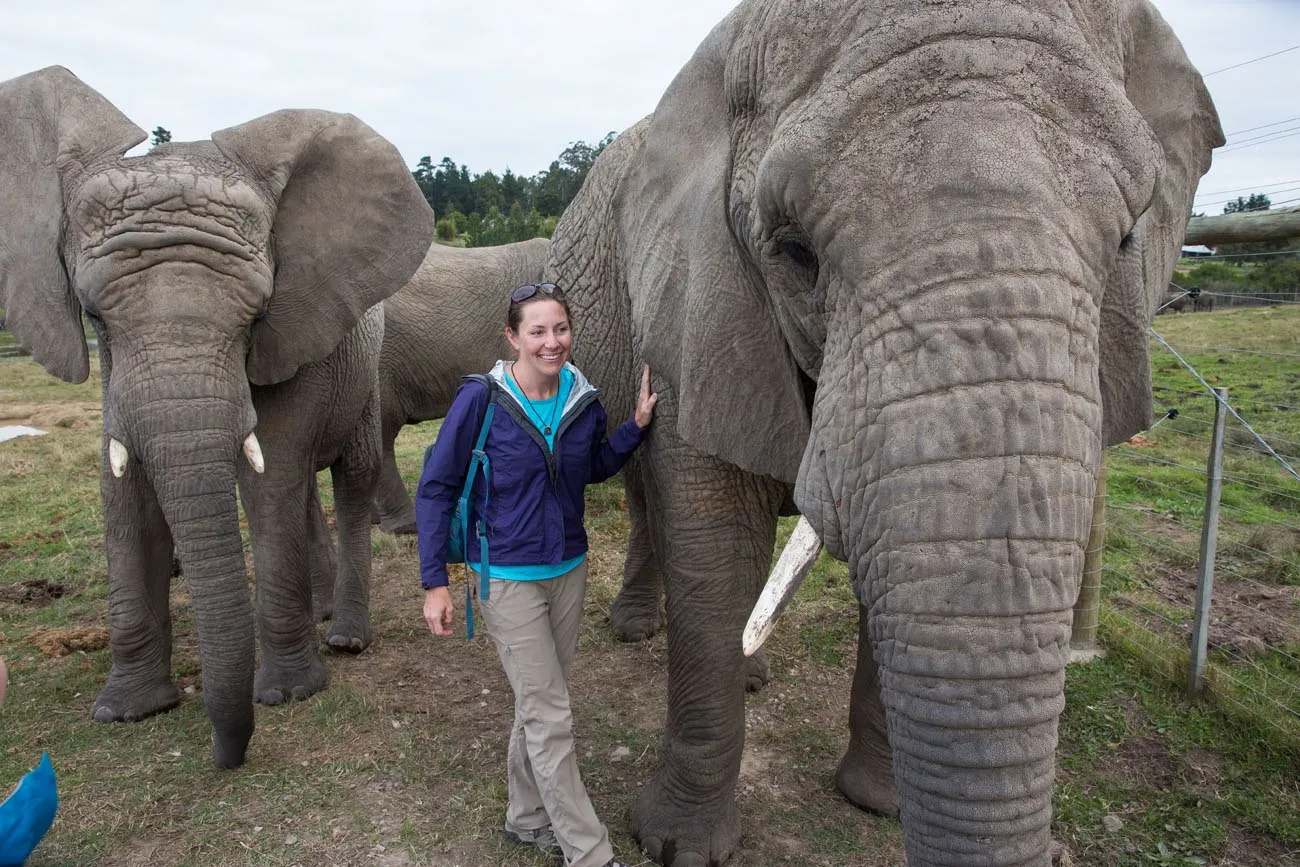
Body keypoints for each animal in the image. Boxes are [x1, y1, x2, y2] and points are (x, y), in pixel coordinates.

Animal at [0, 67, 436, 764]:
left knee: (349, 480)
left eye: (255, 315)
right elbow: (123, 489)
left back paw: (343, 638)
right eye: (93, 317)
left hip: (368, 376)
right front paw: (129, 711)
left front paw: (289, 694)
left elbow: (271, 474)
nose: (223, 756)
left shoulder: (294, 331)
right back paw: (317, 618)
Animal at [543, 3, 1222, 863]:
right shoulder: (694, 298)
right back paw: (638, 632)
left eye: (1131, 239)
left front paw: (880, 804)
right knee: (644, 496)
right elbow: (714, 543)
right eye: (793, 251)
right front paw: (678, 845)